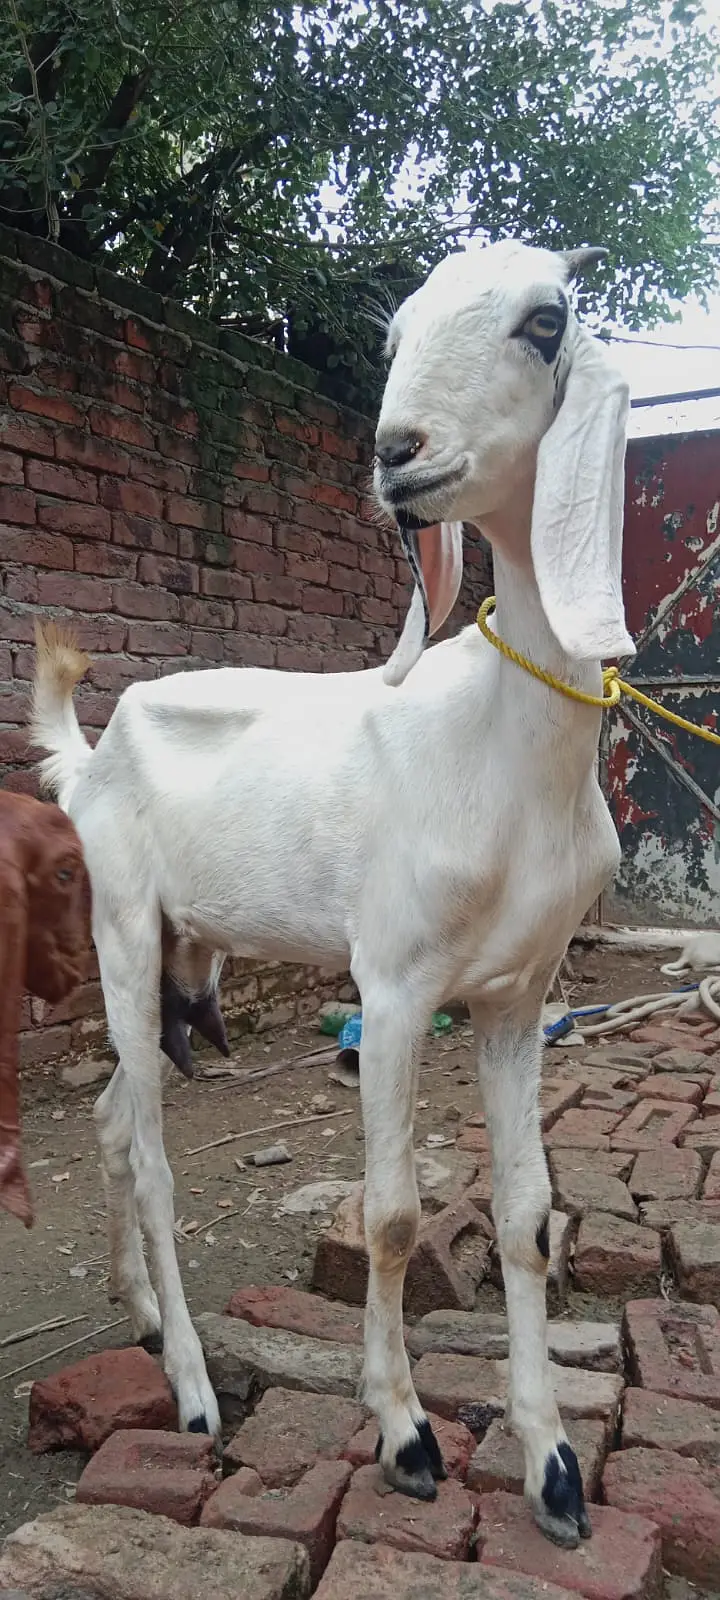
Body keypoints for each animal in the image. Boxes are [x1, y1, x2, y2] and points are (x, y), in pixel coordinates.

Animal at [31, 238, 634, 1550]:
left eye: (544, 320)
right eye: (394, 329)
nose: (399, 451)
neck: (505, 750)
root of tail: (88, 753)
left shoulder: (519, 998)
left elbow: (526, 1213)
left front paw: (554, 1464)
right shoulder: (396, 984)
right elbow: (396, 1215)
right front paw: (406, 1434)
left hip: (172, 959)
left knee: (110, 1118)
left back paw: (141, 1311)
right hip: (119, 925)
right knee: (151, 1154)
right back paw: (193, 1387)